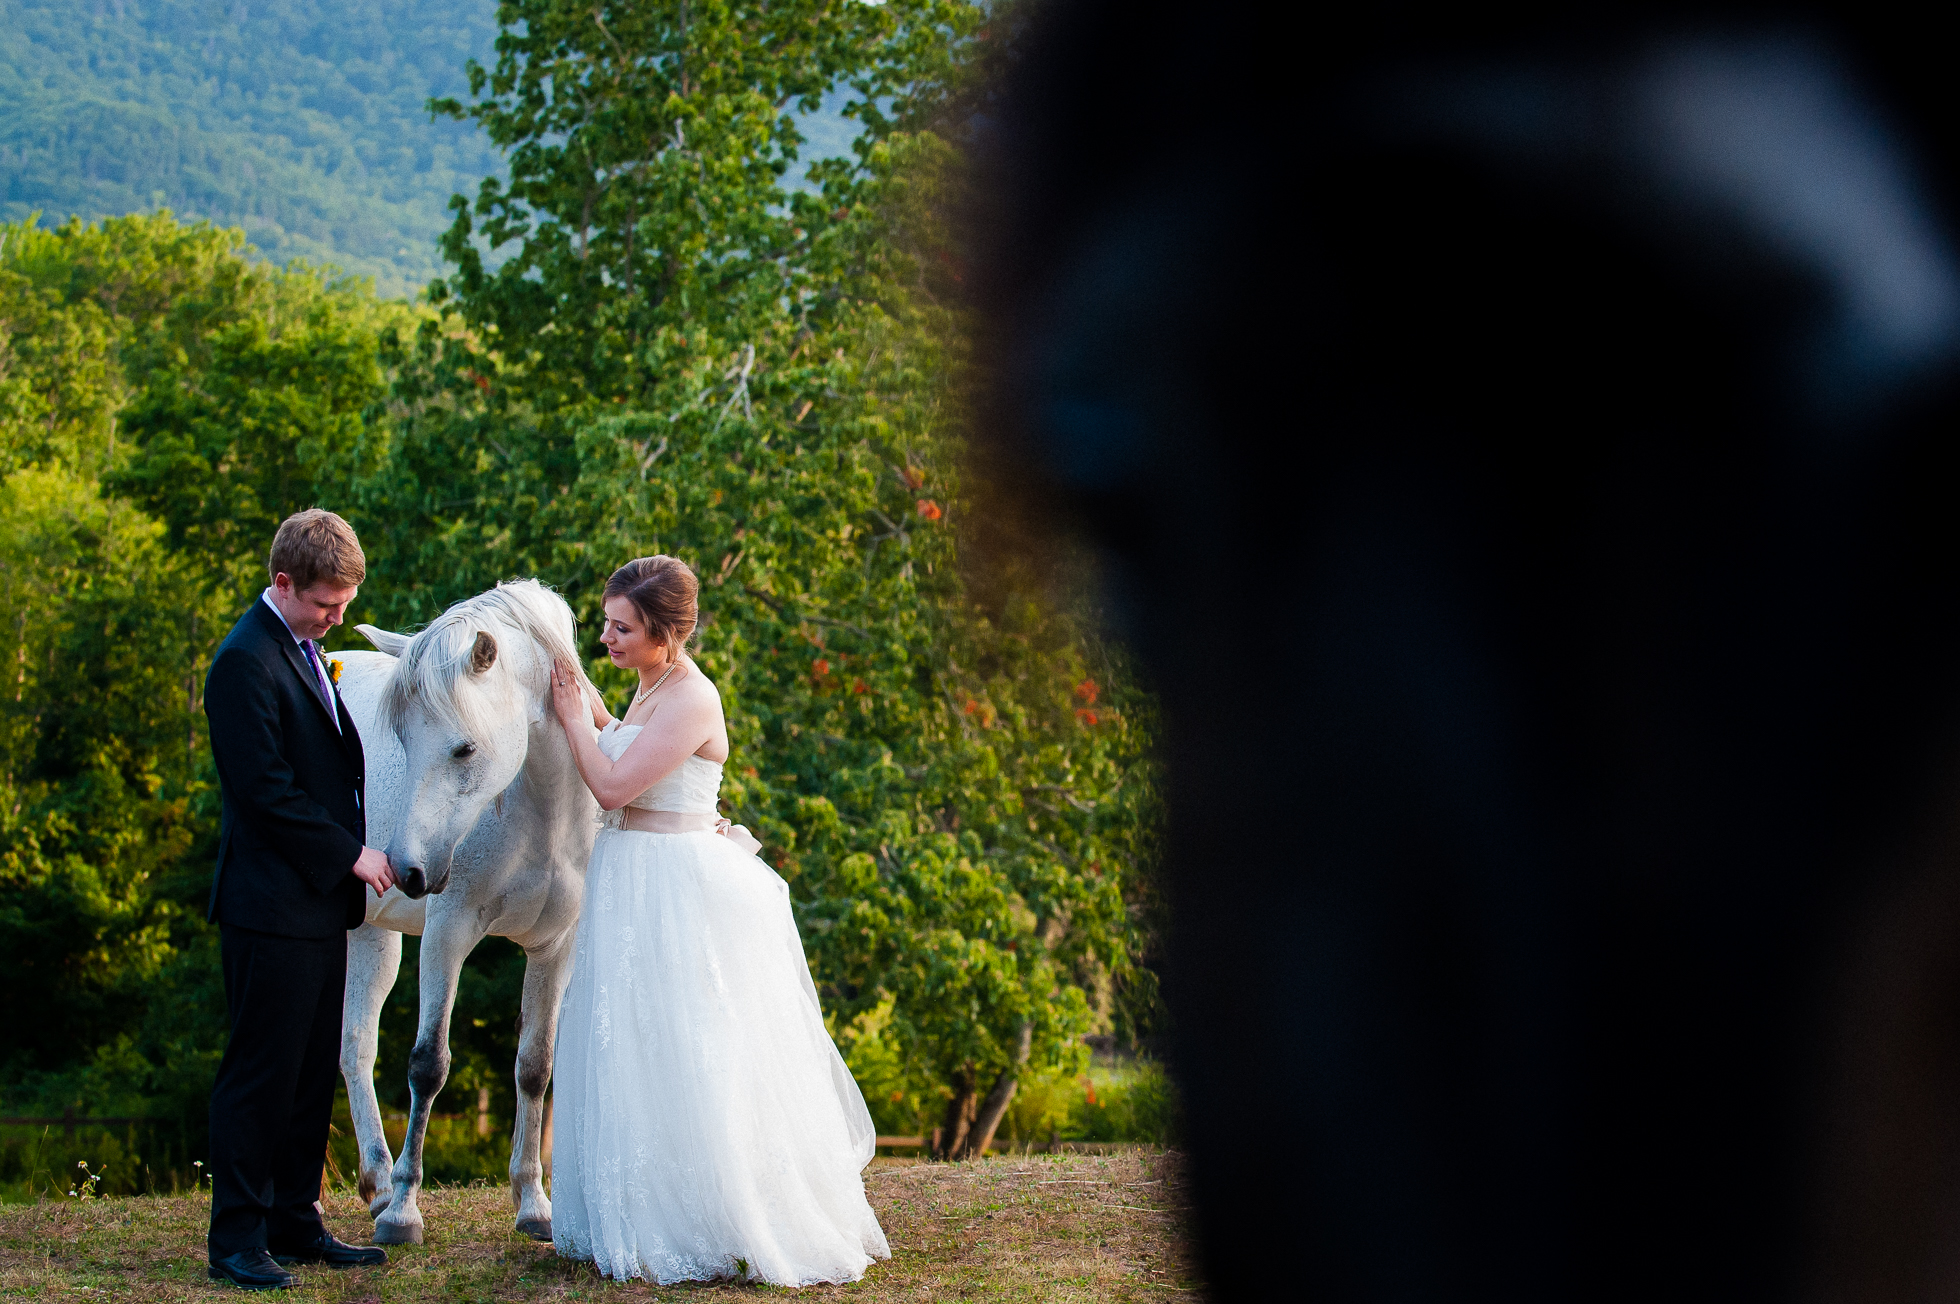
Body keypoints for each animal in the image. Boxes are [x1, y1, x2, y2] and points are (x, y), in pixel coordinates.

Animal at [329, 580, 595, 1239]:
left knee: (355, 1044)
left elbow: (534, 1066)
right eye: (403, 741)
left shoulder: (553, 948)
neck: (538, 816)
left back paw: (375, 1183)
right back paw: (381, 1193)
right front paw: (404, 1212)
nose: (407, 869)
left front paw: (533, 1203)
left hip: (373, 937)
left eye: (464, 747)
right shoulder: (447, 935)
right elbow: (429, 1064)